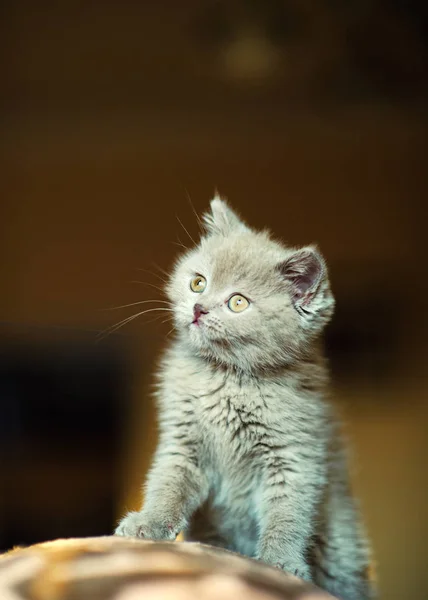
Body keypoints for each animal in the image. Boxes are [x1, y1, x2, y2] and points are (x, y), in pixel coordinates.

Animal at [115, 198, 372, 600]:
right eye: (198, 282)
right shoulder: (183, 439)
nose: (198, 308)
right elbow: (168, 482)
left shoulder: (294, 454)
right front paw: (149, 523)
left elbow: (287, 512)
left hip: (341, 546)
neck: (227, 378)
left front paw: (280, 563)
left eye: (237, 302)